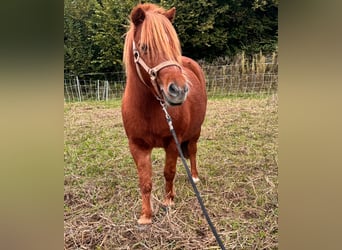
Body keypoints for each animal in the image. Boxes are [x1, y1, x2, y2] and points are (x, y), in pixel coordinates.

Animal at [121, 2, 207, 224]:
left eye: (173, 46)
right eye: (144, 47)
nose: (179, 90)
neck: (149, 110)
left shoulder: (172, 143)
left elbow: (169, 172)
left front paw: (168, 201)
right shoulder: (137, 146)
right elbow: (145, 181)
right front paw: (146, 216)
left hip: (195, 132)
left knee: (192, 151)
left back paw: (194, 176)